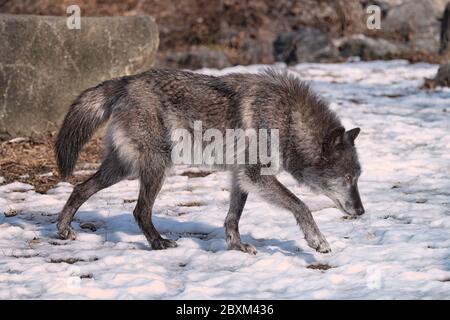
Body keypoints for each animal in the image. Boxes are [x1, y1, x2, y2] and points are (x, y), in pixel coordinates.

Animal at [54, 68, 364, 255]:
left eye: (358, 177)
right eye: (348, 178)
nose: (361, 211)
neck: (288, 118)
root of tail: (125, 81)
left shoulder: (242, 177)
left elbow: (233, 217)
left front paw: (237, 246)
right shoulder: (256, 176)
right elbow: (302, 206)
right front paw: (317, 240)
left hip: (121, 168)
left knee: (79, 188)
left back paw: (64, 229)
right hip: (156, 167)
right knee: (139, 211)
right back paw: (158, 243)